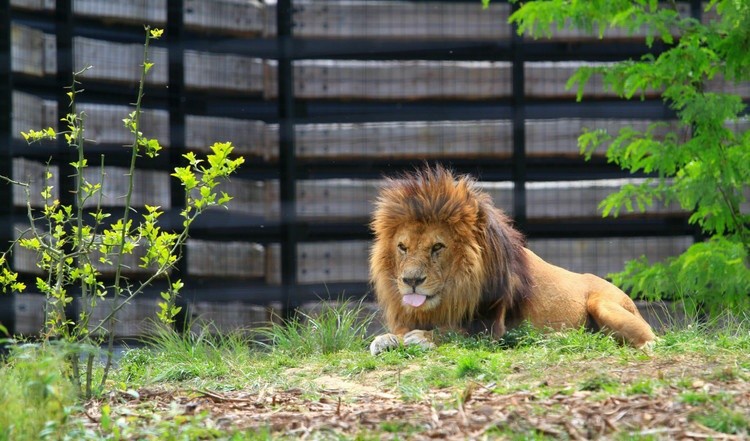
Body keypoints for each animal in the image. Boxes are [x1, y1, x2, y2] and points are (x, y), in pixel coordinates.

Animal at [370, 165, 656, 354]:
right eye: (403, 247)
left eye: (437, 247)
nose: (411, 281)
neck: (455, 293)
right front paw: (386, 339)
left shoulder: (492, 328)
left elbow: (454, 332)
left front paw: (422, 337)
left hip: (604, 303)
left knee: (652, 338)